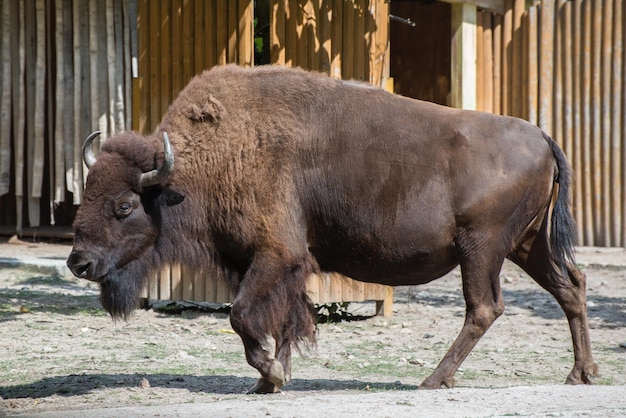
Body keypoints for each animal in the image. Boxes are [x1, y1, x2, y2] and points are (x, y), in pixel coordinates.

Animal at [67, 64, 596, 392]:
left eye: (124, 206)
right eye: (86, 191)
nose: (78, 262)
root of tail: (542, 136)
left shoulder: (276, 255)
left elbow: (241, 315)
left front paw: (272, 374)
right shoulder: (268, 265)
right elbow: (279, 318)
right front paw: (267, 380)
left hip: (482, 248)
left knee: (484, 307)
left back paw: (433, 380)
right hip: (527, 245)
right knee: (570, 287)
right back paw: (581, 374)